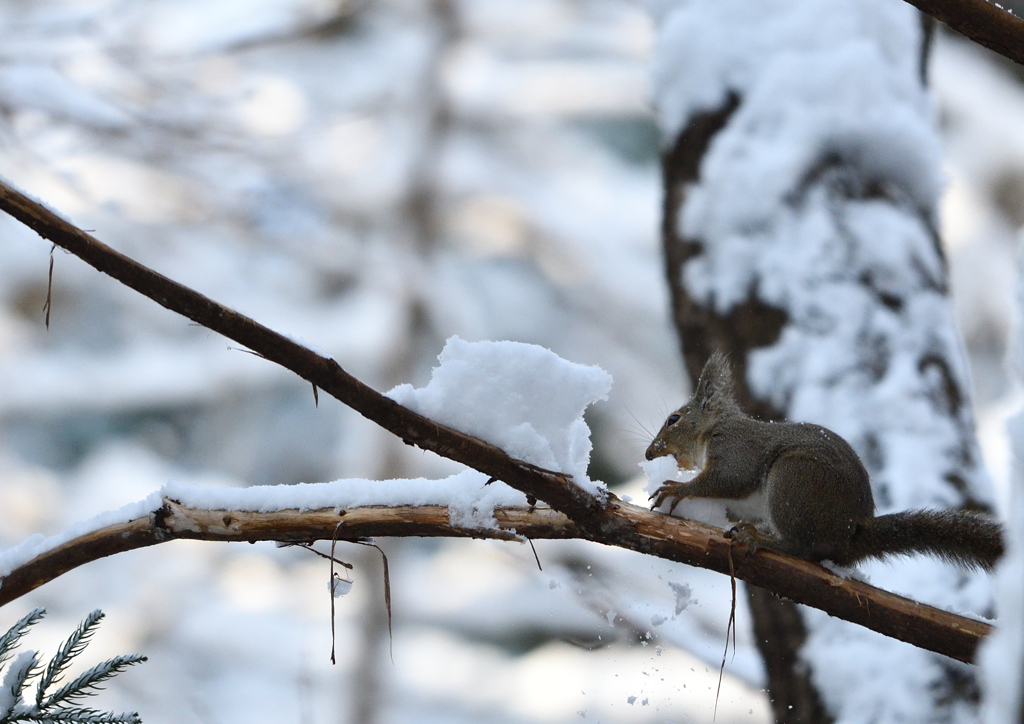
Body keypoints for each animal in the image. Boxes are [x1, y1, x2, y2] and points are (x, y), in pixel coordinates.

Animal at [647, 354, 999, 569]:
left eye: (673, 420)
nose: (650, 453)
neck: (713, 428)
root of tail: (850, 536)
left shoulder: (735, 448)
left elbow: (729, 479)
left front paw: (676, 488)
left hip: (793, 480)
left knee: (801, 547)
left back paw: (762, 538)